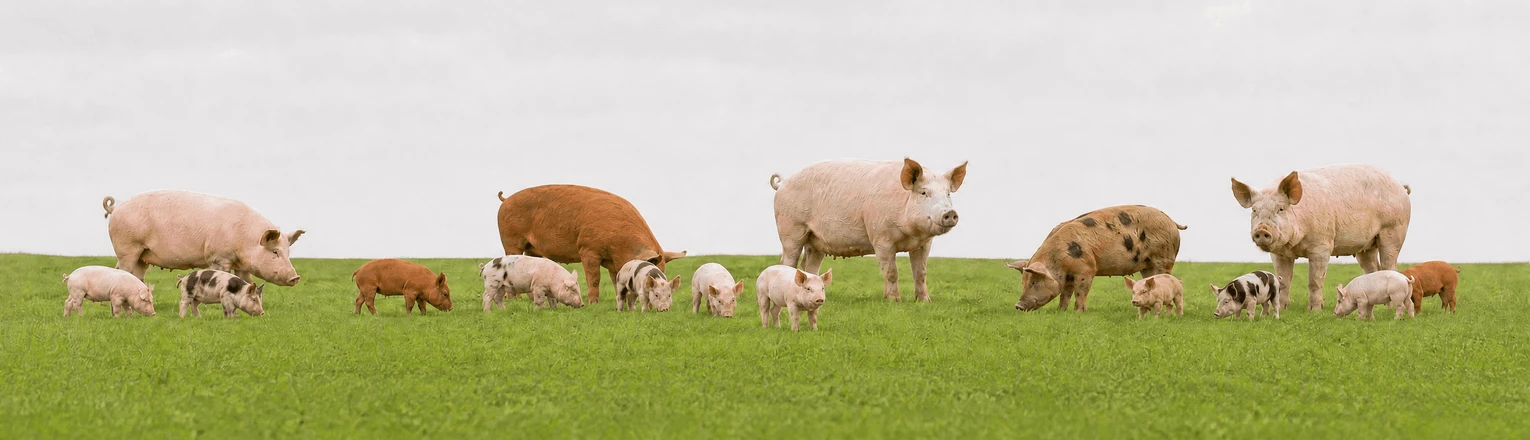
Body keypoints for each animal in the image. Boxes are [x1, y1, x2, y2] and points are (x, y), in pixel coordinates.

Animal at [103, 190, 305, 286]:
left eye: (288, 252)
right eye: (275, 251)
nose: (295, 277)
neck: (244, 239)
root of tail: (116, 208)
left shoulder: (241, 265)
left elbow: (247, 281)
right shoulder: (218, 257)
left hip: (142, 255)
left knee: (135, 274)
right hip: (127, 247)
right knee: (123, 269)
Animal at [497, 185, 686, 304]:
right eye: (648, 275)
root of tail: (506, 200)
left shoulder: (614, 263)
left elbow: (615, 280)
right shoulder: (588, 249)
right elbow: (594, 278)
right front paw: (593, 303)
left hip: (532, 249)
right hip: (510, 239)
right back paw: (514, 300)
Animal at [769, 158, 966, 302]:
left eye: (948, 193)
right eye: (924, 193)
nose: (950, 213)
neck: (911, 234)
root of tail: (782, 184)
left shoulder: (924, 244)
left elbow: (921, 273)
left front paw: (925, 301)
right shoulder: (880, 238)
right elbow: (891, 271)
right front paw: (894, 301)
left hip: (815, 240)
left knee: (809, 266)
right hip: (790, 230)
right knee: (787, 261)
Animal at [1010, 205, 1187, 312]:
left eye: (1035, 282)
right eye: (1023, 282)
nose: (1018, 306)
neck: (1059, 259)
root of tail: (1172, 221)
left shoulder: (1087, 269)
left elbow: (1081, 292)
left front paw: (1078, 312)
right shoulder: (1068, 276)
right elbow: (1065, 294)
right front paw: (1061, 311)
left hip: (1163, 257)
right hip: (1148, 265)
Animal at [1231, 165, 1412, 311]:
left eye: (1281, 209)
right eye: (1254, 210)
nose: (1262, 230)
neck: (1294, 245)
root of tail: (1400, 186)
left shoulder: (1322, 244)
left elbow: (1315, 280)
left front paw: (1315, 310)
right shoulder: (1279, 253)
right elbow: (1284, 281)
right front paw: (1282, 308)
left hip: (1394, 230)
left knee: (1389, 264)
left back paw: (1388, 308)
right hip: (1366, 246)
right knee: (1372, 269)